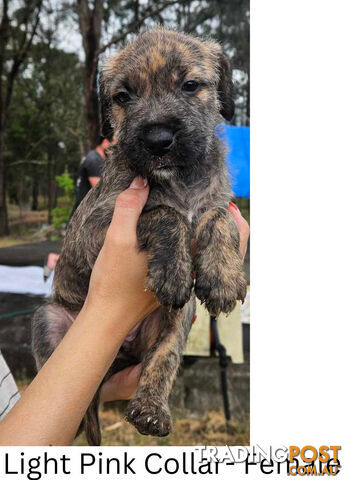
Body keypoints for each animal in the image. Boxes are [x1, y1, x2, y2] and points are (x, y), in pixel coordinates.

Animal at [32, 28, 245, 444]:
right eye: (123, 97)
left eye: (190, 85)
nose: (158, 139)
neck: (179, 179)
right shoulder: (92, 229)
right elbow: (164, 212)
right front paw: (174, 271)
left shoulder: (218, 201)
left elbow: (216, 215)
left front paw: (223, 277)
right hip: (47, 317)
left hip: (180, 316)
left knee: (164, 355)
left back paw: (150, 410)